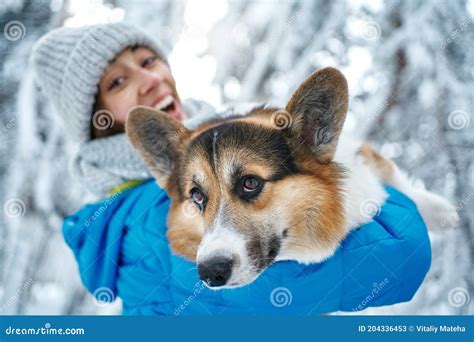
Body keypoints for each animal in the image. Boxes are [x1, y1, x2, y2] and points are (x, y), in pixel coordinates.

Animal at [126, 66, 460, 288]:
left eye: (250, 183)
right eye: (197, 196)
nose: (210, 272)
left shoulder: (360, 153)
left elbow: (394, 177)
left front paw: (441, 213)